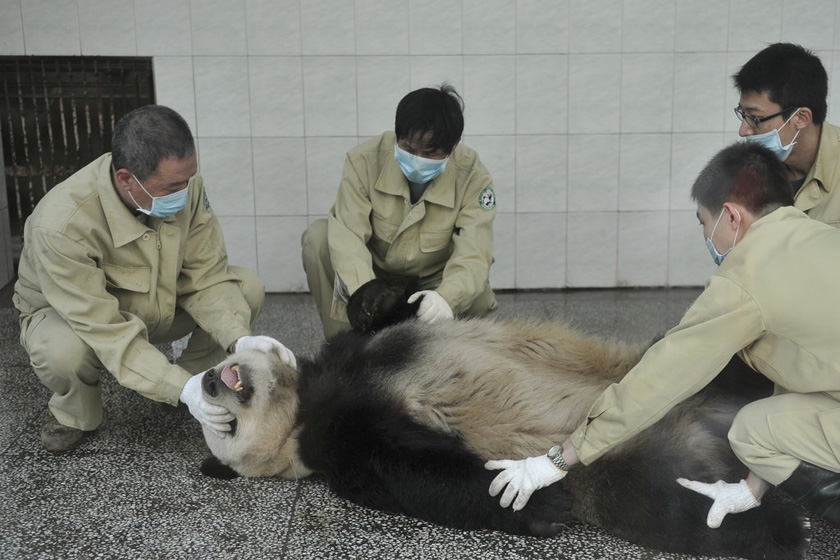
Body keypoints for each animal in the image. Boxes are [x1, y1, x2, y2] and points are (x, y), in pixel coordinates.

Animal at [197, 283, 811, 560]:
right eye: (223, 430)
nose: (207, 382)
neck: (308, 397)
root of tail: (706, 426)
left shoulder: (350, 352)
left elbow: (385, 317)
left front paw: (399, 298)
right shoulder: (335, 443)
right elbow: (405, 468)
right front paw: (540, 502)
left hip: (678, 364)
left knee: (723, 347)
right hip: (630, 470)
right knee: (674, 510)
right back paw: (776, 521)